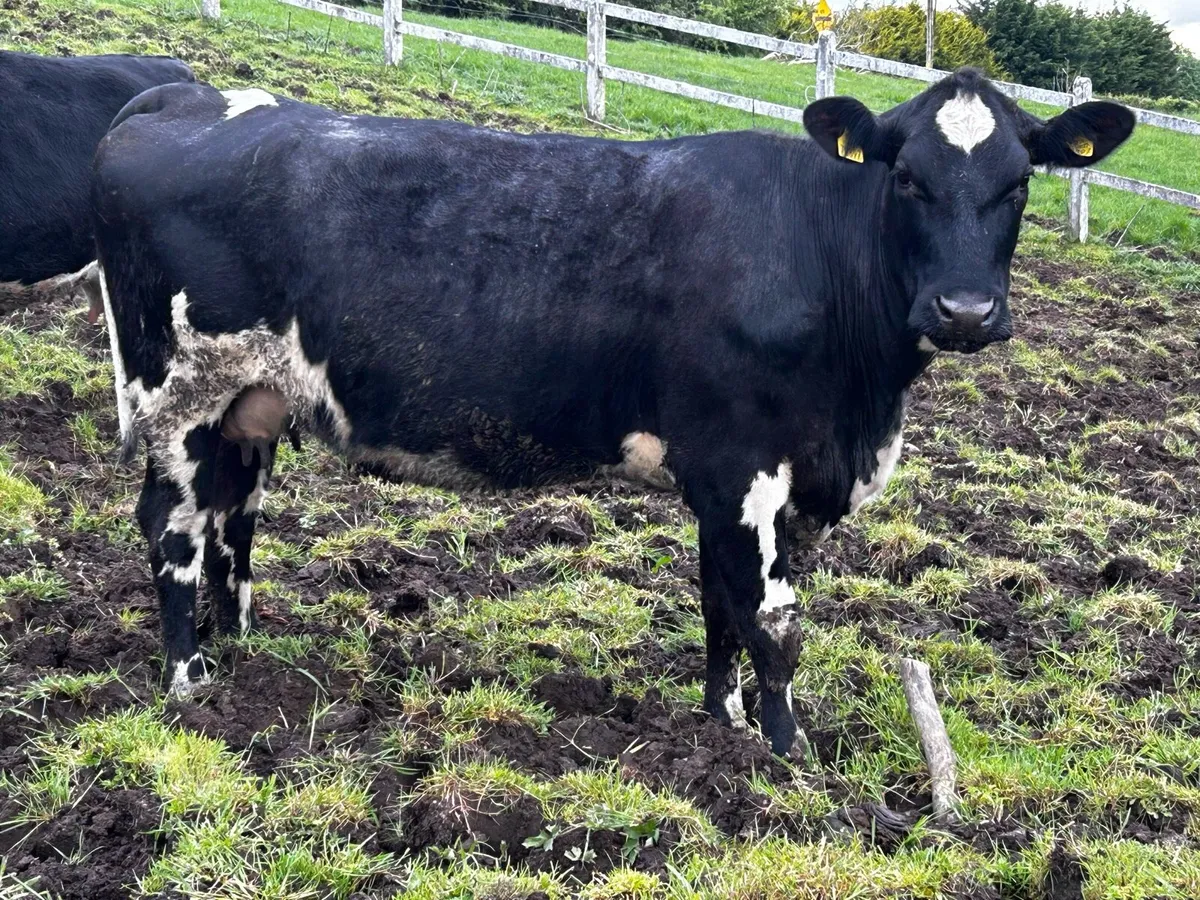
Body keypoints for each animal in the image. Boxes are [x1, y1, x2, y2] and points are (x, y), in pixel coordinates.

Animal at [91, 70, 1133, 756]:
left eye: (1020, 182)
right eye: (907, 177)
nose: (965, 312)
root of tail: (178, 98)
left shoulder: (757, 480)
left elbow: (722, 606)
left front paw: (724, 723)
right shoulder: (744, 463)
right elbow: (774, 618)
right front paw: (787, 755)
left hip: (250, 403)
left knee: (233, 517)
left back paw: (242, 648)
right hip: (176, 391)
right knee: (174, 526)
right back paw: (189, 681)